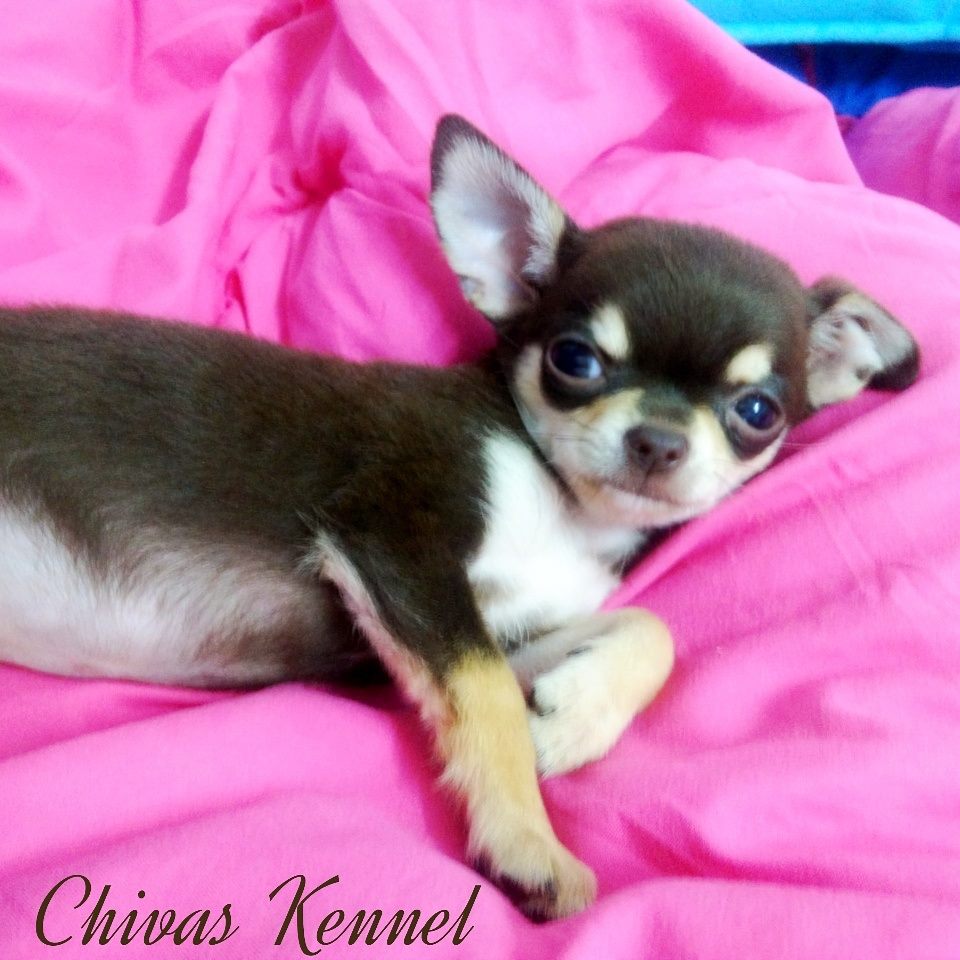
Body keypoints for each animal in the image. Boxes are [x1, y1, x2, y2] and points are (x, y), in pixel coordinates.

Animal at [0, 115, 919, 919]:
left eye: (757, 411)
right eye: (574, 360)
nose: (656, 440)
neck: (561, 505)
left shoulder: (482, 624)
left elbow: (644, 632)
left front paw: (571, 719)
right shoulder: (398, 552)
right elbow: (490, 701)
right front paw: (530, 845)